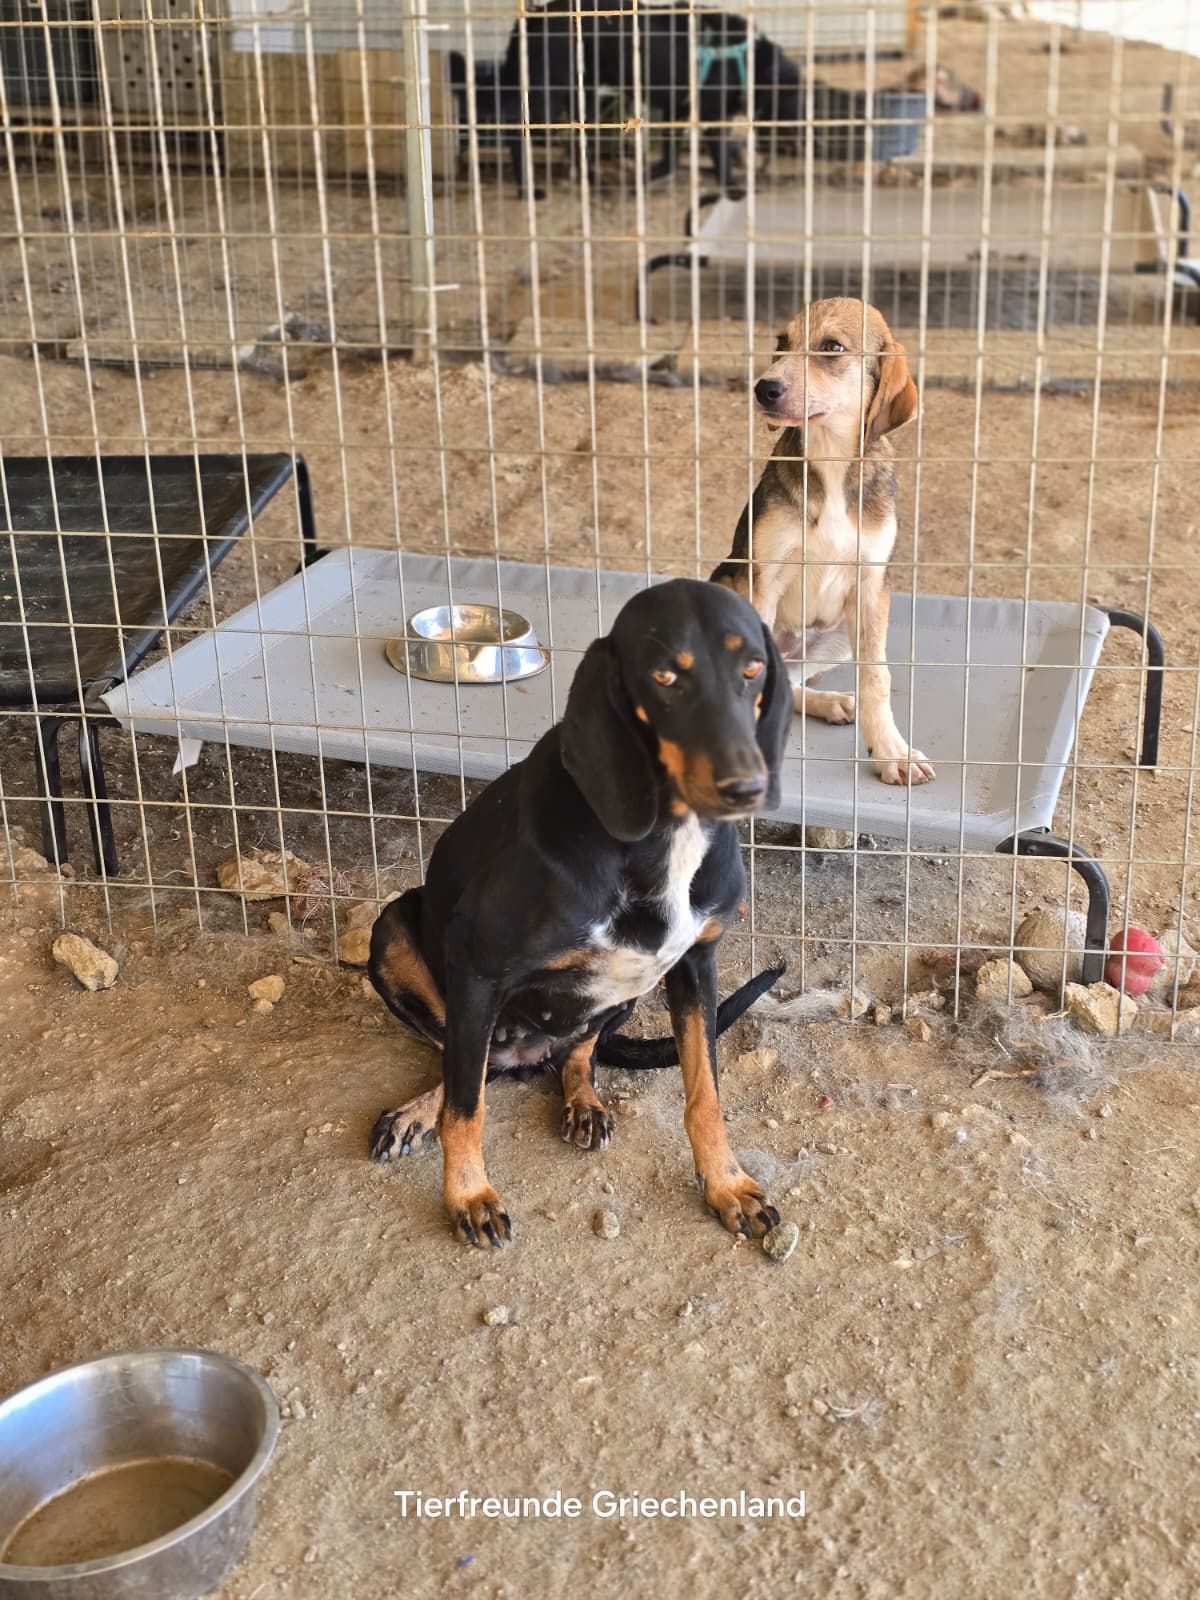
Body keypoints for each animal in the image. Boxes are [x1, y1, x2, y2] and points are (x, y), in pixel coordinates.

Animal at [367, 578, 791, 1248]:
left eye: (752, 668)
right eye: (665, 676)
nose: (746, 787)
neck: (664, 838)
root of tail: (525, 1055)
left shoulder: (696, 963)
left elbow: (706, 1095)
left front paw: (727, 1185)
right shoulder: (475, 965)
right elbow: (465, 1106)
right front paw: (468, 1196)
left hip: (623, 996)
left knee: (571, 1053)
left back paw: (583, 1101)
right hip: (394, 933)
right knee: (469, 1069)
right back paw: (419, 1110)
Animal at [712, 298, 934, 787]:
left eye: (832, 348)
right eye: (781, 342)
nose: (764, 388)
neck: (829, 458)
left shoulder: (871, 586)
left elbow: (877, 678)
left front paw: (891, 750)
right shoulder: (765, 576)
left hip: (840, 638)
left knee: (792, 684)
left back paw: (832, 702)